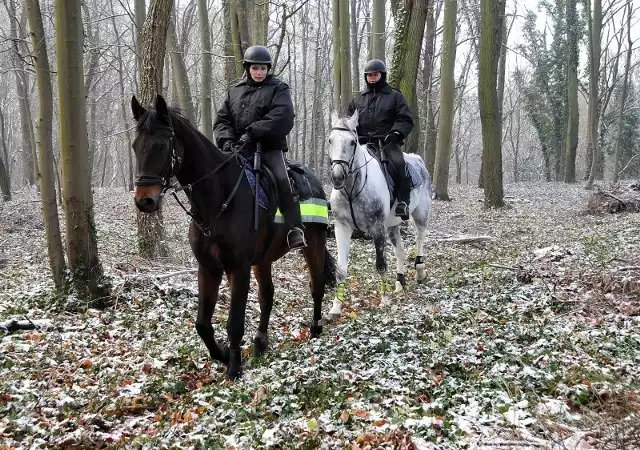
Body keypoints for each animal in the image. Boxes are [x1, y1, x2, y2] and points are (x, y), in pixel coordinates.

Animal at [132, 95, 338, 380]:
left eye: (162, 145)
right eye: (135, 146)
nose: (144, 201)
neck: (218, 199)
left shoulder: (238, 268)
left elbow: (234, 322)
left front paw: (234, 366)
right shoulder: (209, 267)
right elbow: (202, 323)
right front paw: (220, 354)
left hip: (313, 245)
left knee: (316, 284)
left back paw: (316, 328)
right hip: (263, 260)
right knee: (267, 295)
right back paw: (261, 341)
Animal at [328, 110, 432, 318]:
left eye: (352, 142)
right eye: (330, 140)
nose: (337, 177)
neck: (352, 190)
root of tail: (418, 160)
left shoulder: (377, 228)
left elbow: (381, 264)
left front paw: (384, 300)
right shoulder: (342, 228)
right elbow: (341, 269)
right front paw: (336, 307)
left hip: (420, 215)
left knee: (420, 238)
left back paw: (420, 270)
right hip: (392, 226)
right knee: (400, 251)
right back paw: (399, 282)